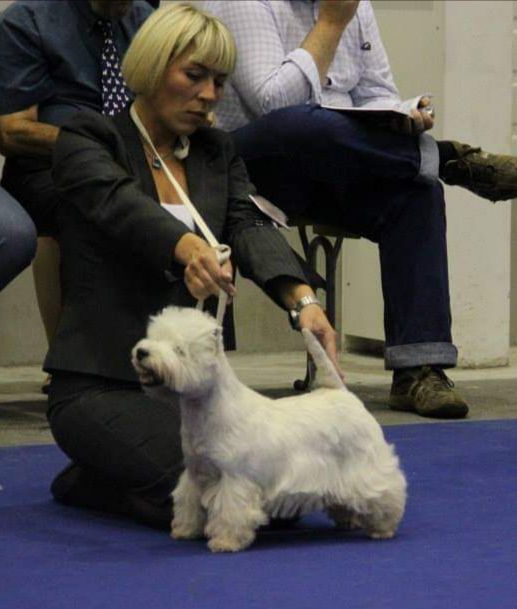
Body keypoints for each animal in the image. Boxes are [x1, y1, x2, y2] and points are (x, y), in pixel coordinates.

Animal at [131, 308, 406, 552]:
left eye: (179, 349)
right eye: (153, 337)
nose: (142, 352)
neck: (205, 410)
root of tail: (341, 391)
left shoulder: (234, 479)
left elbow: (229, 511)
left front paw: (225, 542)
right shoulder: (196, 472)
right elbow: (188, 503)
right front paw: (185, 530)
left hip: (365, 465)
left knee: (386, 491)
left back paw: (382, 528)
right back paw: (349, 520)